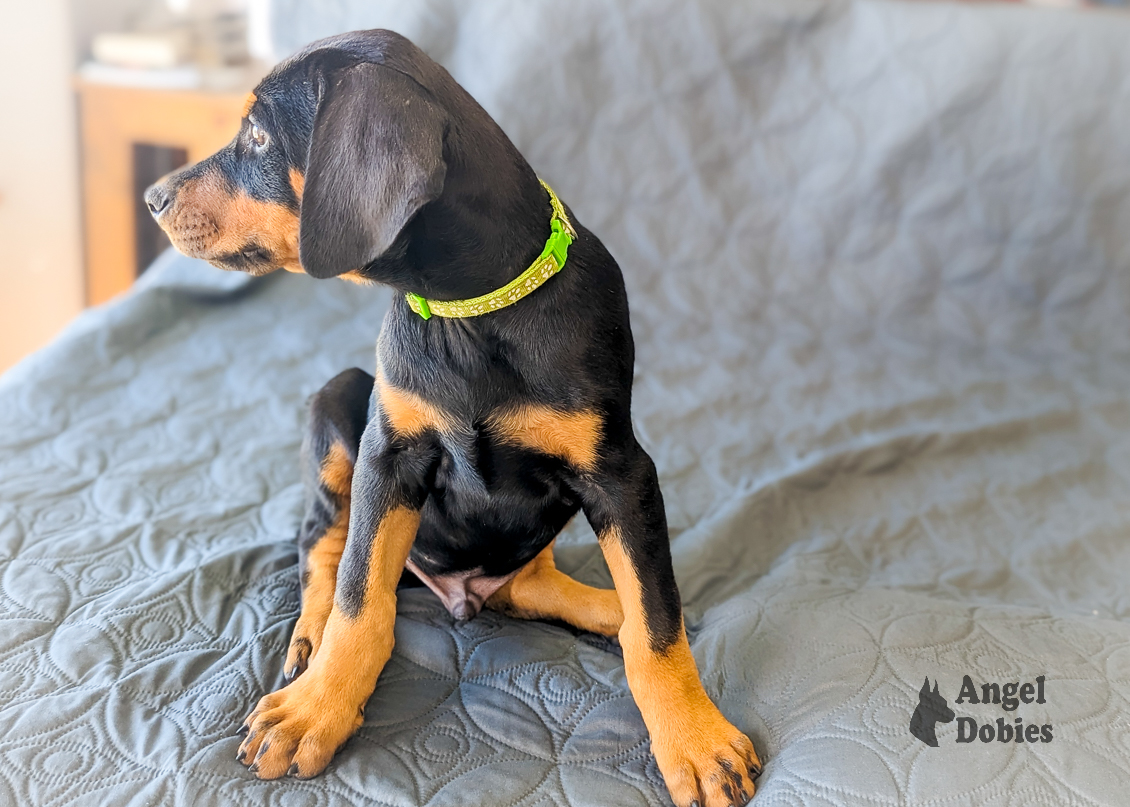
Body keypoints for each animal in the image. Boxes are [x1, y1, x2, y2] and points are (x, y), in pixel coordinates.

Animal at [143, 28, 759, 800]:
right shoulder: (389, 452)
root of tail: (460, 592)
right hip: (341, 398)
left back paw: (608, 608)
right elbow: (361, 597)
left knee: (538, 585)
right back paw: (310, 638)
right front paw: (316, 708)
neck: (471, 309)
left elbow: (657, 621)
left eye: (257, 135)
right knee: (322, 541)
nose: (152, 196)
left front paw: (697, 740)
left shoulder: (620, 472)